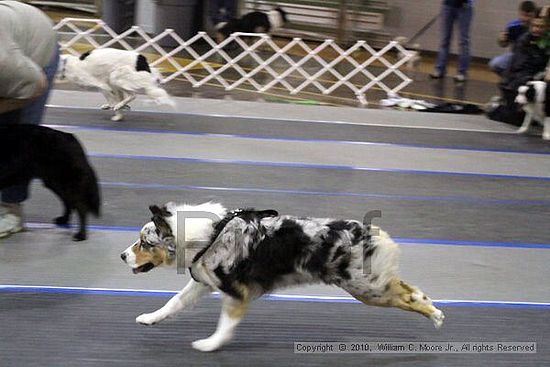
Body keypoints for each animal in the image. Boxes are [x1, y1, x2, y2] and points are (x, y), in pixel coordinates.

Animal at [122, 204, 444, 354]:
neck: (206, 236)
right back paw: (431, 305)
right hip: (372, 284)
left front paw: (210, 345)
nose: (123, 255)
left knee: (407, 295)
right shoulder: (203, 282)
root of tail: (371, 233)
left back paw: (436, 315)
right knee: (407, 288)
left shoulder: (236, 293)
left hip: (366, 288)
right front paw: (150, 318)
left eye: (144, 243)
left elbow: (225, 325)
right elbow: (174, 303)